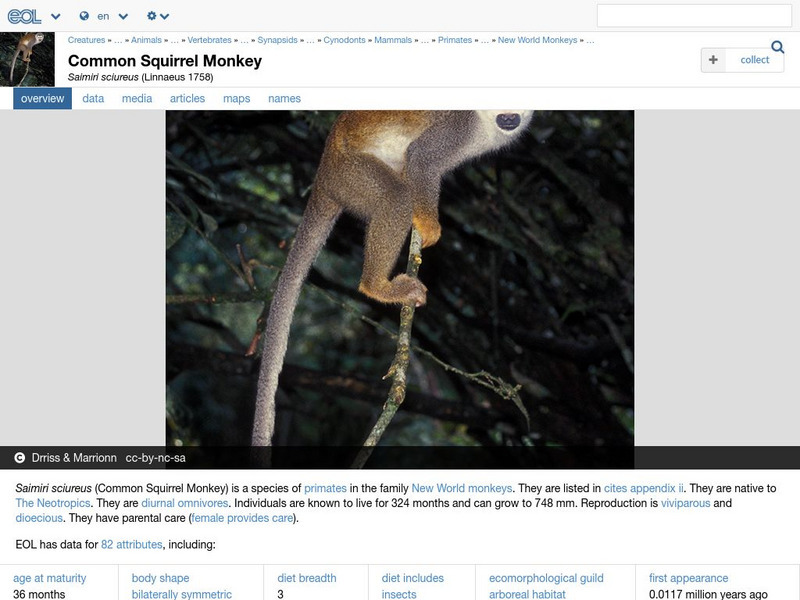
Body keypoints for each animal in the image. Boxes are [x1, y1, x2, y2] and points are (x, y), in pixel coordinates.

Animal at [252, 110, 533, 446]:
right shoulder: (459, 127)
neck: (485, 125)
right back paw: (376, 286)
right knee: (396, 196)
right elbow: (422, 158)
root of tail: (323, 176)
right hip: (351, 174)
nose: (510, 119)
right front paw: (427, 222)